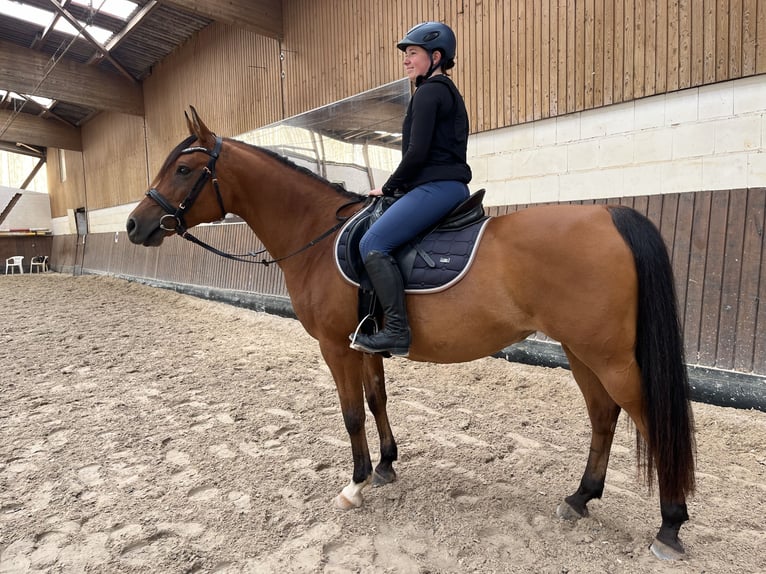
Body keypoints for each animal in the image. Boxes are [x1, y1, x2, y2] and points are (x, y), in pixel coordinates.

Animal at [129, 108, 700, 564]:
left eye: (183, 169)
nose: (135, 226)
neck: (315, 235)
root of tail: (608, 214)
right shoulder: (365, 344)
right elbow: (377, 400)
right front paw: (385, 466)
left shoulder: (334, 346)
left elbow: (351, 413)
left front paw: (356, 483)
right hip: (582, 352)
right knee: (603, 416)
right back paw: (580, 498)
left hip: (609, 357)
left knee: (646, 417)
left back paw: (669, 525)